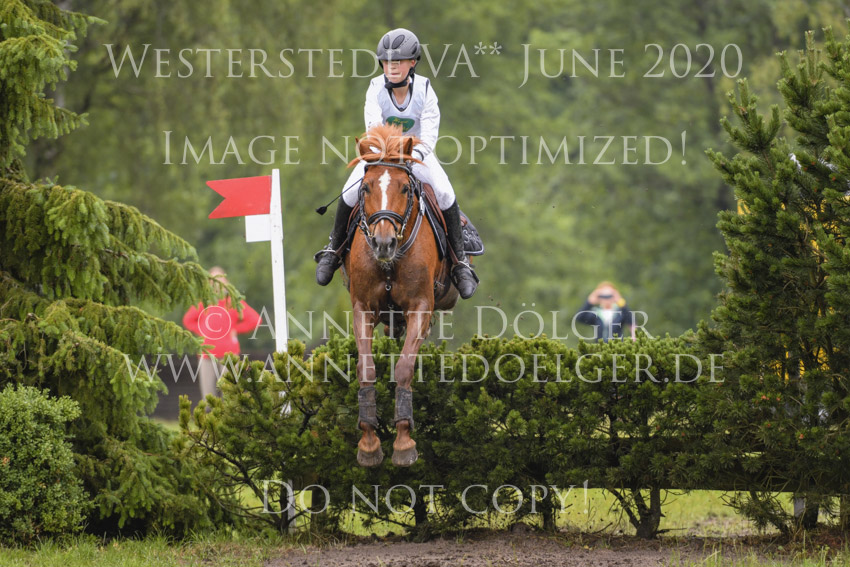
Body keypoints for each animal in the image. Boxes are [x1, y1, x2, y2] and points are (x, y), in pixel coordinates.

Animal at [341, 124, 460, 467]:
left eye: (406, 189)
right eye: (366, 188)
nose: (384, 243)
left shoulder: (420, 306)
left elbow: (405, 368)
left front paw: (404, 441)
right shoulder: (363, 307)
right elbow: (366, 369)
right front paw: (369, 443)